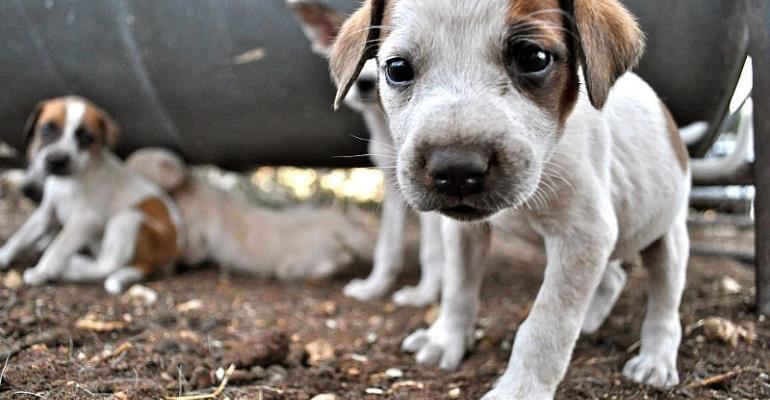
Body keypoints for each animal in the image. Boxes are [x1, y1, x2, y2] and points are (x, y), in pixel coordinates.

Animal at [0, 97, 182, 294]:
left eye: (85, 137)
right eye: (47, 129)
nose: (57, 161)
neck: (69, 181)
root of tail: (170, 258)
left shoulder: (86, 220)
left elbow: (59, 246)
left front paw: (42, 271)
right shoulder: (47, 213)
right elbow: (21, 237)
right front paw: (3, 254)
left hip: (127, 219)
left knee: (108, 265)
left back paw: (71, 267)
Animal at [124, 147, 374, 282]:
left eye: (135, 164)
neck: (191, 189)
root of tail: (341, 224)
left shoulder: (197, 231)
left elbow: (192, 250)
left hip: (311, 254)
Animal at [288, 0, 444, 306]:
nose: (366, 83)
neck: (387, 129)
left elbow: (432, 251)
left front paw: (423, 294)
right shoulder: (394, 188)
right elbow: (387, 245)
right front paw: (374, 287)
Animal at [330, 0, 688, 400]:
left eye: (533, 58)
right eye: (397, 69)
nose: (456, 170)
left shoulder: (583, 235)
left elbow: (547, 323)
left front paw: (521, 389)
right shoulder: (464, 232)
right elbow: (457, 289)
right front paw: (446, 340)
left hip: (668, 239)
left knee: (665, 303)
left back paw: (655, 359)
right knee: (612, 277)